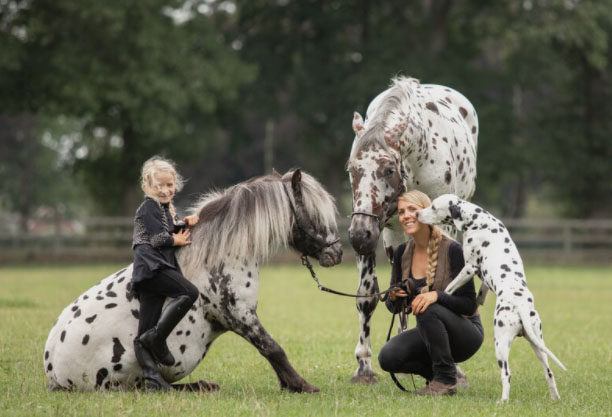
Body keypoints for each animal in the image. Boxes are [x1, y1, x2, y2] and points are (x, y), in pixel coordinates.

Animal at [43, 168, 342, 390]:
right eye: (315, 214)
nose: (336, 252)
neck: (218, 254)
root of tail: (53, 371)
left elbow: (270, 349)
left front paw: (289, 384)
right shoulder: (238, 315)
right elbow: (272, 348)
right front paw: (301, 385)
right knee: (151, 385)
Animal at [346, 76, 480, 382]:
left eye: (388, 169)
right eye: (351, 169)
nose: (358, 234)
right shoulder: (377, 231)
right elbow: (369, 296)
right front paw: (364, 367)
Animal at [418, 193, 568, 402]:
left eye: (433, 207)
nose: (417, 214)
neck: (476, 220)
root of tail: (521, 306)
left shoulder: (469, 268)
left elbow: (449, 288)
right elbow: (482, 290)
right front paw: (480, 298)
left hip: (501, 344)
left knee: (506, 373)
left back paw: (503, 401)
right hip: (538, 344)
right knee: (549, 372)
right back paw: (555, 398)